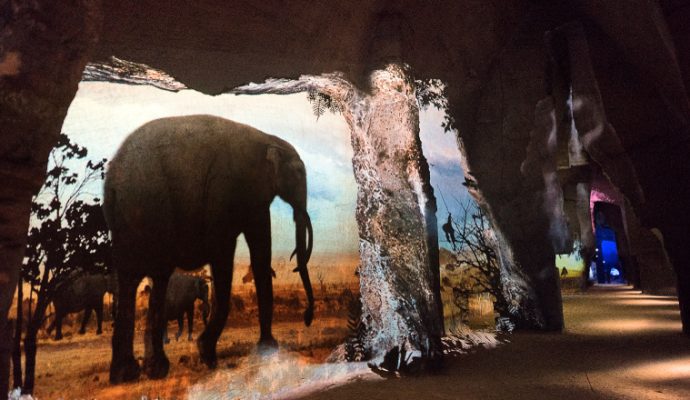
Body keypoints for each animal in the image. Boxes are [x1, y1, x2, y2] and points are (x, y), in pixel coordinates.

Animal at [103, 114, 314, 382]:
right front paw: (208, 356)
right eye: (298, 172)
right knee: (154, 275)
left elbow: (260, 254)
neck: (268, 138)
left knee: (130, 279)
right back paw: (152, 370)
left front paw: (267, 349)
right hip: (149, 209)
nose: (307, 318)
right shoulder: (227, 190)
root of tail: (112, 181)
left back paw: (129, 374)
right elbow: (224, 251)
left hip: (124, 220)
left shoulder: (253, 198)